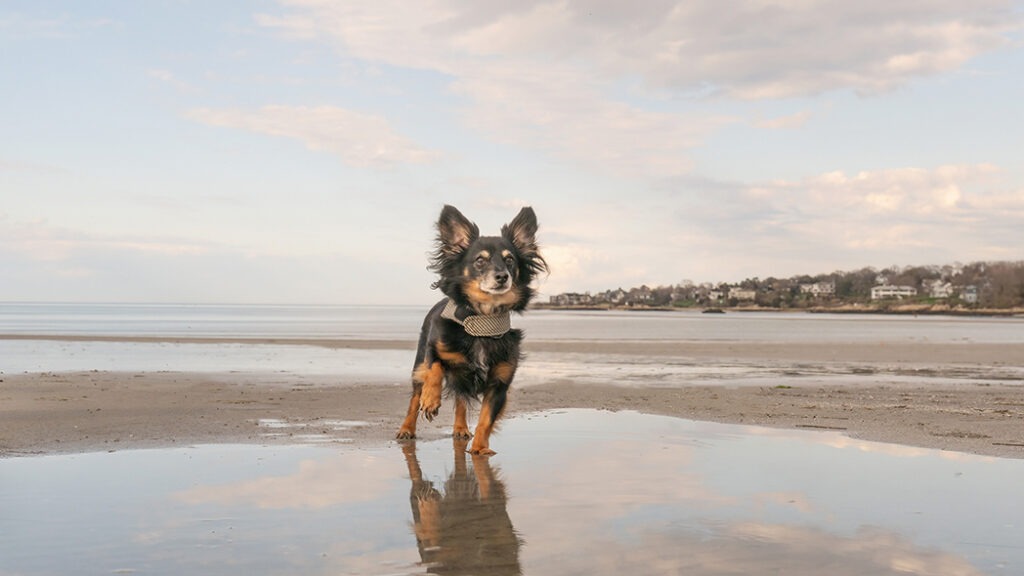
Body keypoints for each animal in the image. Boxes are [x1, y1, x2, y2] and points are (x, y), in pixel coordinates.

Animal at [395, 202, 548, 453]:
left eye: (510, 260)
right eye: (480, 260)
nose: (502, 276)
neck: (481, 323)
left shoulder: (499, 384)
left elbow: (486, 420)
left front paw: (479, 450)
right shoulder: (434, 348)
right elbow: (435, 367)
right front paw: (431, 400)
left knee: (460, 401)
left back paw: (461, 429)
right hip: (419, 364)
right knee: (414, 397)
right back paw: (407, 428)